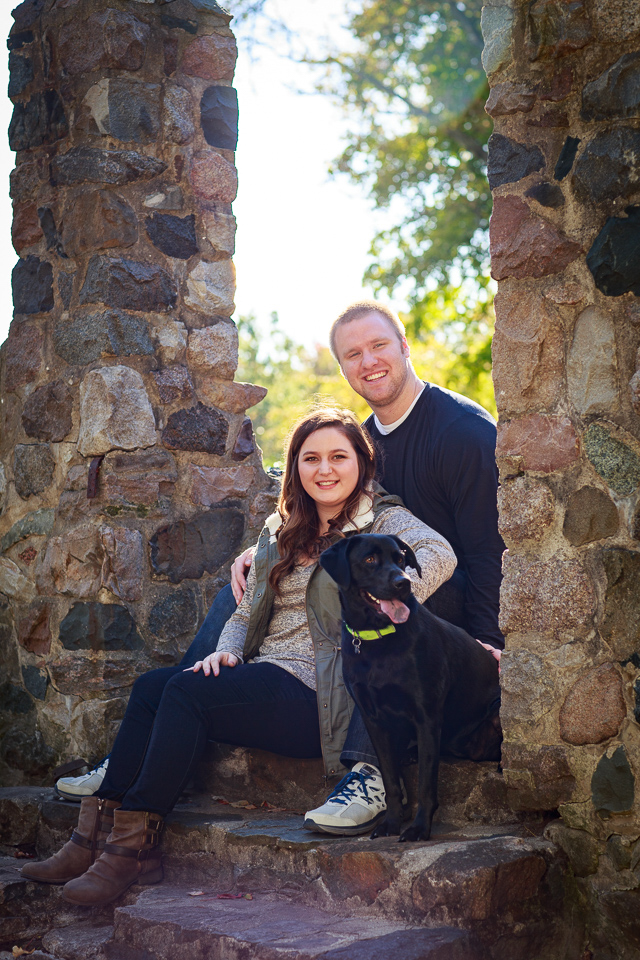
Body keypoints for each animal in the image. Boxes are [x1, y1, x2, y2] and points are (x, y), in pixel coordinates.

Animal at [318, 532, 500, 840]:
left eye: (401, 559)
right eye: (369, 559)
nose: (403, 582)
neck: (377, 640)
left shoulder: (426, 716)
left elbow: (426, 784)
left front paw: (419, 828)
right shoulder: (373, 720)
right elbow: (391, 781)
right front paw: (390, 823)